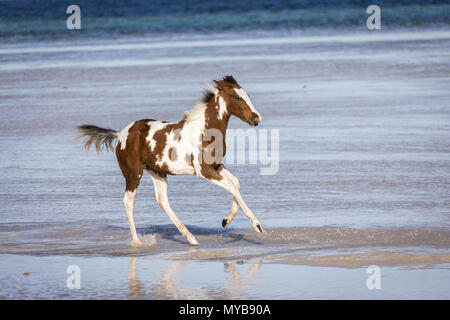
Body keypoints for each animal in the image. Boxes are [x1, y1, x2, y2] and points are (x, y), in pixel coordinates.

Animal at [77, 75, 264, 248]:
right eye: (237, 97)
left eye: (247, 95)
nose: (256, 119)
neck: (204, 131)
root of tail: (120, 134)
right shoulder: (203, 171)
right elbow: (231, 187)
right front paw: (257, 225)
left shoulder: (217, 166)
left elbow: (236, 184)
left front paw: (225, 220)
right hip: (133, 173)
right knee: (129, 202)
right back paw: (137, 241)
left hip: (157, 172)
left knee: (162, 200)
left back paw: (190, 237)